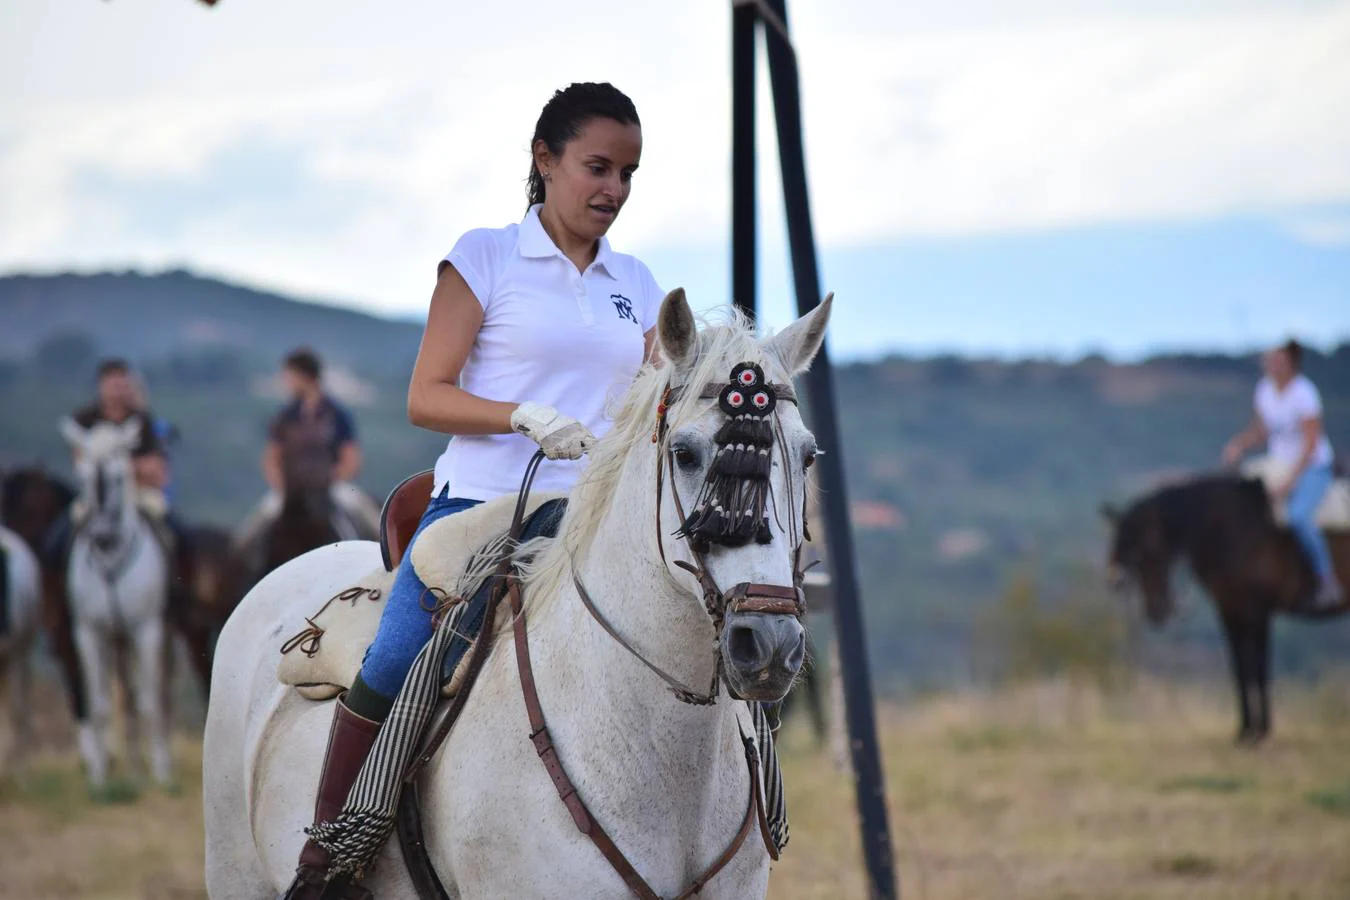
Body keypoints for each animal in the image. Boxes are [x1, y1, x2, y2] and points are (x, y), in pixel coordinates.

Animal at [61, 415, 172, 788]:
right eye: (80, 476)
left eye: (120, 477)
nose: (100, 536)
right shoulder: (88, 631)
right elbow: (98, 706)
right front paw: (99, 777)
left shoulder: (147, 628)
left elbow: (151, 701)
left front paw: (161, 774)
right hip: (115, 639)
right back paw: (130, 767)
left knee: (150, 697)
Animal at [1101, 474, 1344, 744]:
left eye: (1146, 550)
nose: (1157, 611)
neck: (1228, 528)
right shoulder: (1229, 609)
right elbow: (1240, 669)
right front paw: (1245, 731)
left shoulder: (1258, 610)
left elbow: (1259, 668)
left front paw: (1261, 732)